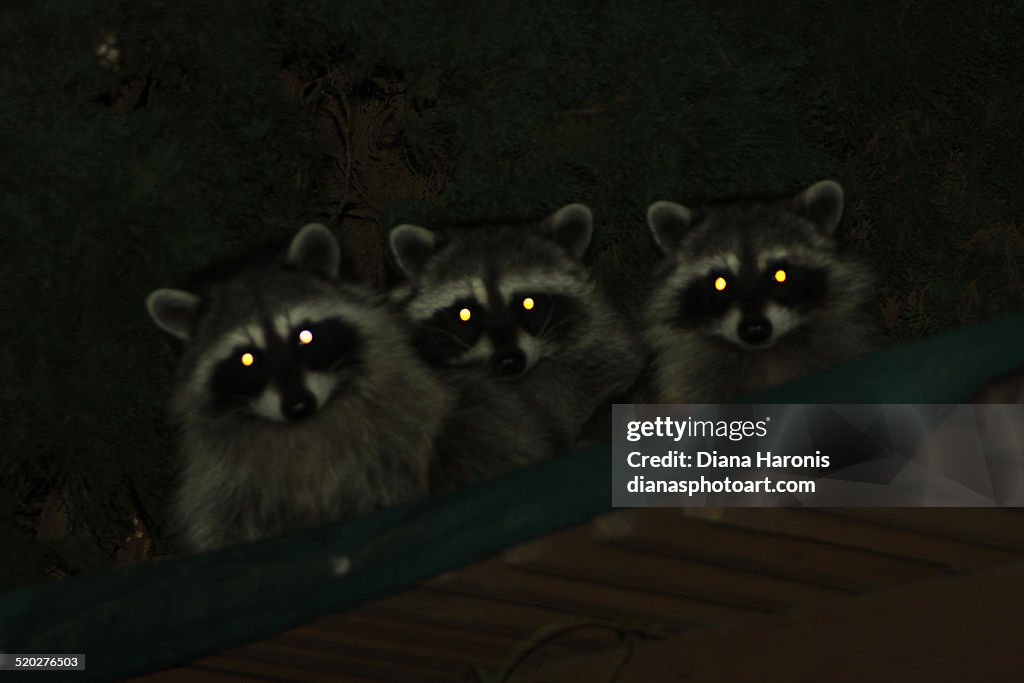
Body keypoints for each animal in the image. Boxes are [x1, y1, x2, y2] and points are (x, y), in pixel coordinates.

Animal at [146, 223, 451, 552]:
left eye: (305, 336)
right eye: (247, 359)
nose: (298, 405)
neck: (304, 426)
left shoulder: (395, 432)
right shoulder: (222, 479)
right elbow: (221, 518)